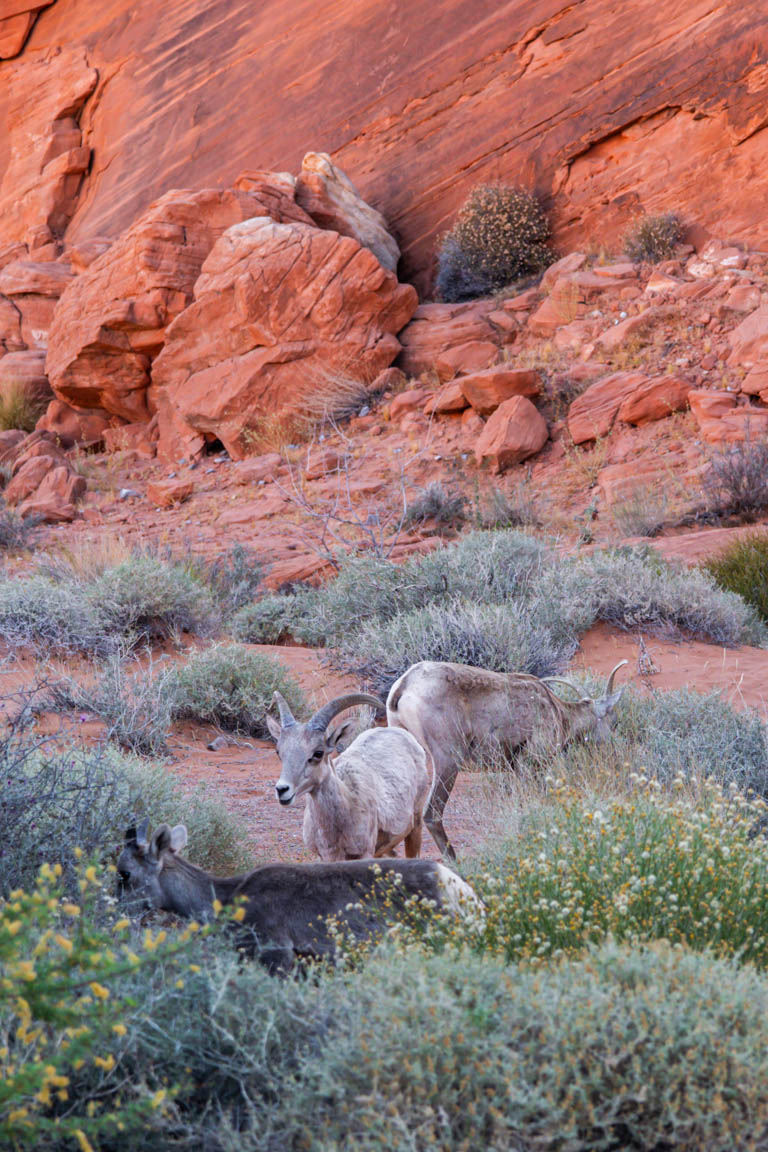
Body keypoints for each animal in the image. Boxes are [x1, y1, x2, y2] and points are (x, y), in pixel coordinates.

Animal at [267, 686, 430, 861]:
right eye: (279, 752)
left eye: (318, 753)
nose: (282, 790)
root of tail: (402, 734)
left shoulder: (364, 854)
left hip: (415, 825)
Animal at [386, 658, 626, 857]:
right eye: (614, 721)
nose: (614, 749)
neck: (557, 712)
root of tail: (404, 685)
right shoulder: (528, 764)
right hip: (447, 762)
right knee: (432, 814)